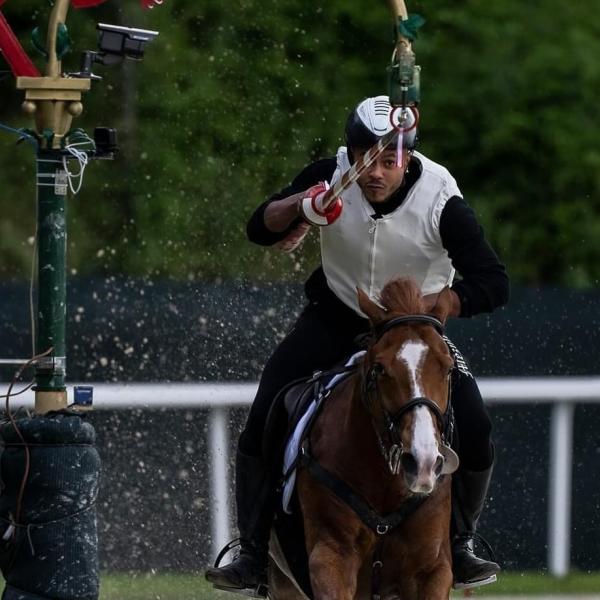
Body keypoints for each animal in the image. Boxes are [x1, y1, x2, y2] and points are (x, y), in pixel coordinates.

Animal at [270, 278, 458, 596]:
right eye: (380, 368)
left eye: (448, 368)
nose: (421, 462)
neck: (385, 483)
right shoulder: (331, 556)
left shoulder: (431, 569)